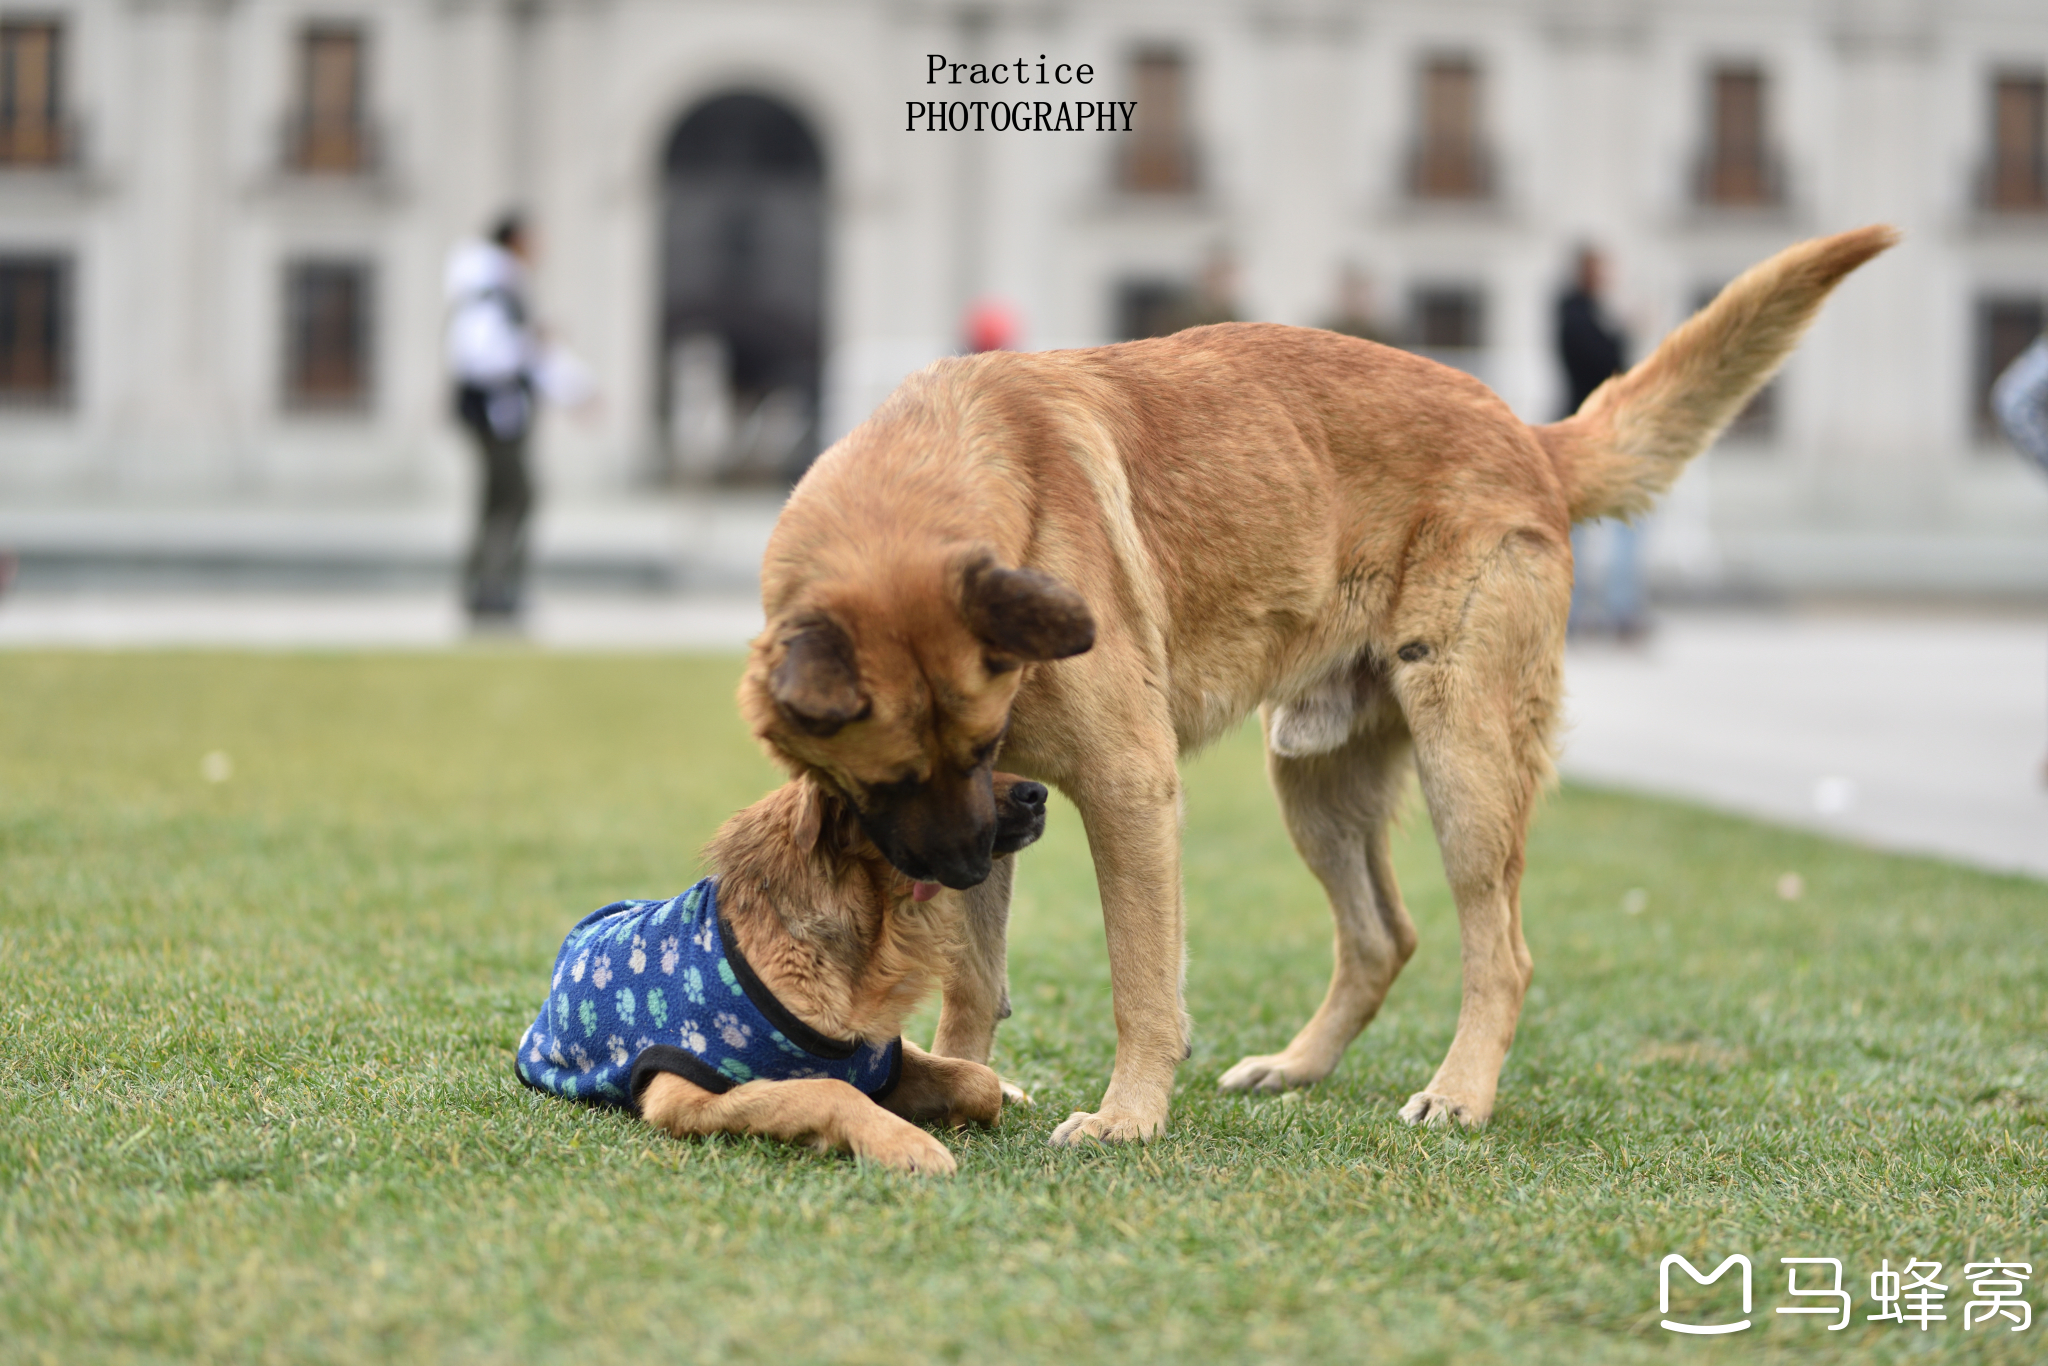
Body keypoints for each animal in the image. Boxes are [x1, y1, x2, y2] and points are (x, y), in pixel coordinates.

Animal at [520, 770, 1048, 1179]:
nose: (1038, 793)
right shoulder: (680, 1095)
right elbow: (829, 1089)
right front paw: (902, 1141)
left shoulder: (885, 1059)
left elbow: (976, 1079)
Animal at [745, 227, 1892, 1146]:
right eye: (884, 780)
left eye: (969, 752)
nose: (968, 858)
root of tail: (1527, 433)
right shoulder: (994, 813)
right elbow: (974, 983)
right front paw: (961, 1081)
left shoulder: (1123, 789)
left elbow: (1141, 983)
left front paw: (1127, 1118)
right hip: (1315, 781)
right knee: (1384, 934)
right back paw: (1298, 1067)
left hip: (1465, 769)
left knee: (1500, 950)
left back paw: (1458, 1094)